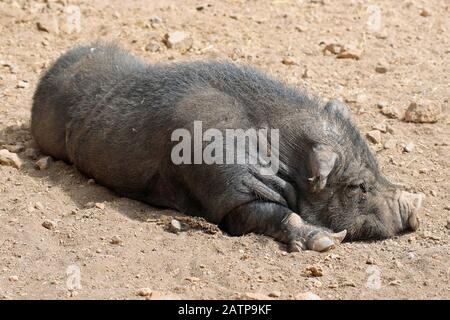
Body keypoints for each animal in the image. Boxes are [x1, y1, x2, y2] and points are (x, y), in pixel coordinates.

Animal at [31, 42, 422, 252]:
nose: (411, 209)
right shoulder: (227, 190)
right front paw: (327, 242)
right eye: (358, 186)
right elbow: (277, 214)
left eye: (377, 167)